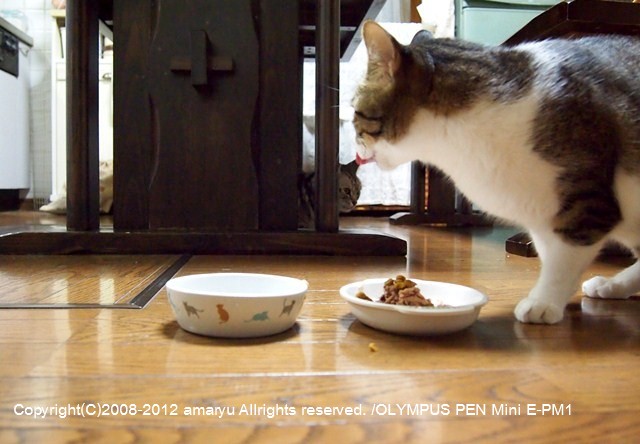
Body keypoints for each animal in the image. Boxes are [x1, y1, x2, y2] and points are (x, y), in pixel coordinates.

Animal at [352, 21, 640, 324]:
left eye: (356, 112)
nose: (356, 148)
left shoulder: (585, 204)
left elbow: (562, 260)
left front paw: (543, 301)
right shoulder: (541, 213)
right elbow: (551, 253)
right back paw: (612, 285)